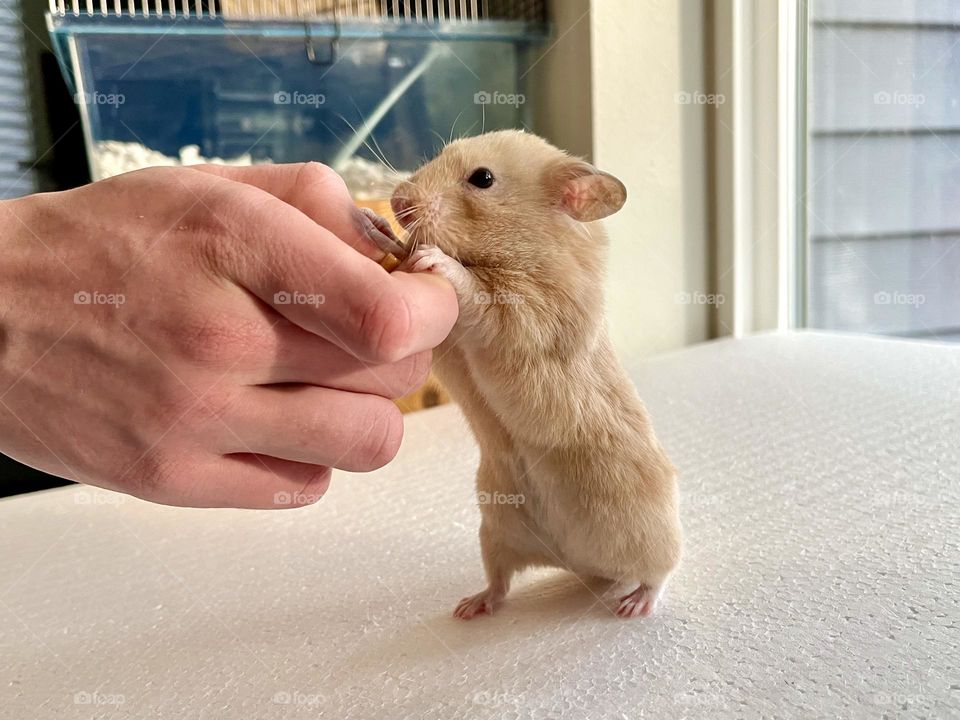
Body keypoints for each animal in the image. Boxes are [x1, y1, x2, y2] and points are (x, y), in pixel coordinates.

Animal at [384, 130, 682, 619]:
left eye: (483, 179)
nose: (395, 201)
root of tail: (576, 562)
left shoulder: (530, 319)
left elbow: (477, 296)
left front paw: (431, 257)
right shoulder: (448, 345)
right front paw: (390, 242)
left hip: (650, 529)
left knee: (661, 570)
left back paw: (634, 605)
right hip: (496, 529)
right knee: (500, 580)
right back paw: (470, 607)